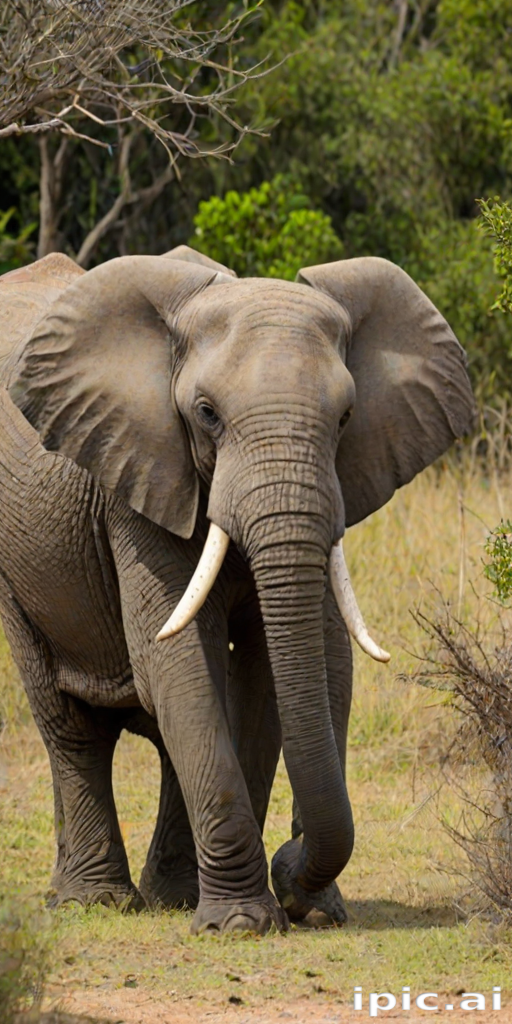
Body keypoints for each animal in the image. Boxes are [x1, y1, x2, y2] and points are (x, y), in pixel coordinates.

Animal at [0, 245, 474, 934]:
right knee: (71, 725)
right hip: (18, 569)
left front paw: (295, 909)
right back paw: (95, 901)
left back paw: (172, 896)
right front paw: (241, 925)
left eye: (346, 417)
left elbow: (290, 666)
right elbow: (176, 658)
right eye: (207, 414)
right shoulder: (137, 481)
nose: (291, 863)